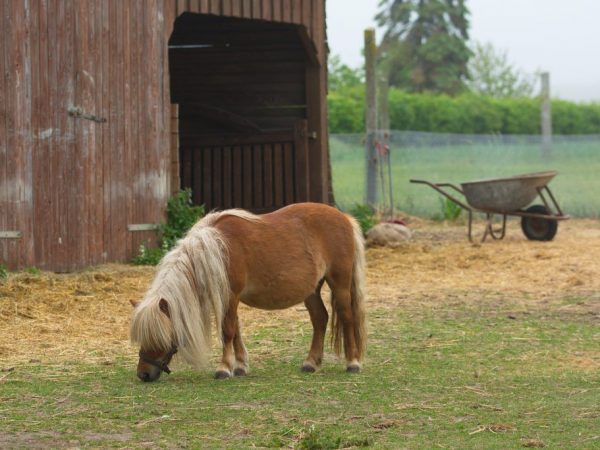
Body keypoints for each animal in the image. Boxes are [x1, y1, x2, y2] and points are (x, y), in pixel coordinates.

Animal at [129, 202, 366, 382]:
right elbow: (236, 331)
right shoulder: (228, 299)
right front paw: (240, 366)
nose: (143, 374)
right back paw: (311, 363)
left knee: (347, 317)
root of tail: (345, 218)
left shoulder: (230, 296)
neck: (217, 249)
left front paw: (224, 368)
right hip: (312, 290)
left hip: (339, 283)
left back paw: (353, 362)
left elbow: (227, 331)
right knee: (320, 319)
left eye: (159, 335)